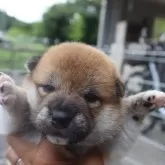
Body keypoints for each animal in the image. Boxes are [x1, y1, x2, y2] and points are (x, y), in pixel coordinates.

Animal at [0, 41, 165, 164]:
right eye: (48, 87)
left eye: (91, 97)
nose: (60, 118)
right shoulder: (17, 131)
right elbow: (20, 110)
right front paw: (10, 91)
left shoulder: (111, 149)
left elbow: (129, 118)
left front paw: (146, 100)